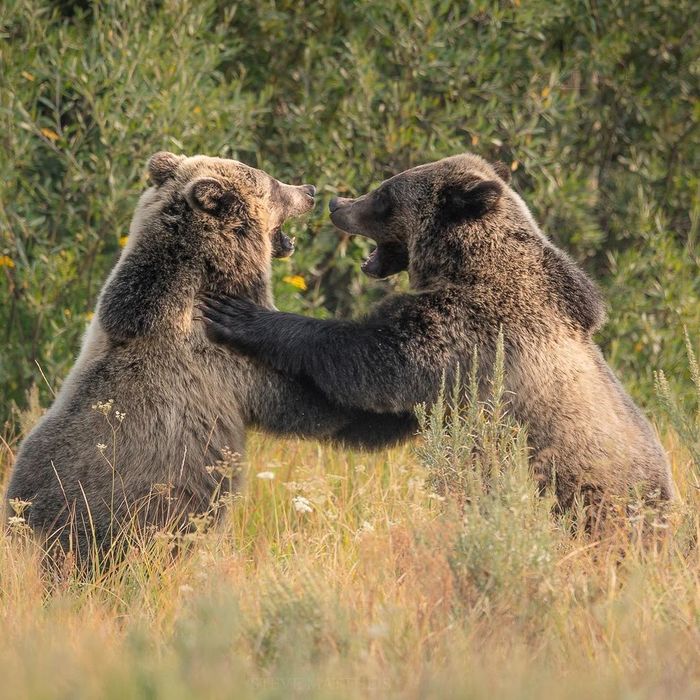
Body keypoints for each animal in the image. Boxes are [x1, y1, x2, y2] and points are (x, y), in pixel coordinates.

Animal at [6, 152, 410, 564]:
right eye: (272, 183)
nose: (310, 190)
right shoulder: (225, 364)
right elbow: (306, 403)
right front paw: (399, 414)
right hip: (99, 519)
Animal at [202, 152, 680, 508]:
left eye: (384, 193)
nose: (337, 203)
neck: (462, 264)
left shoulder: (471, 330)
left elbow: (374, 361)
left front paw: (240, 315)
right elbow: (381, 411)